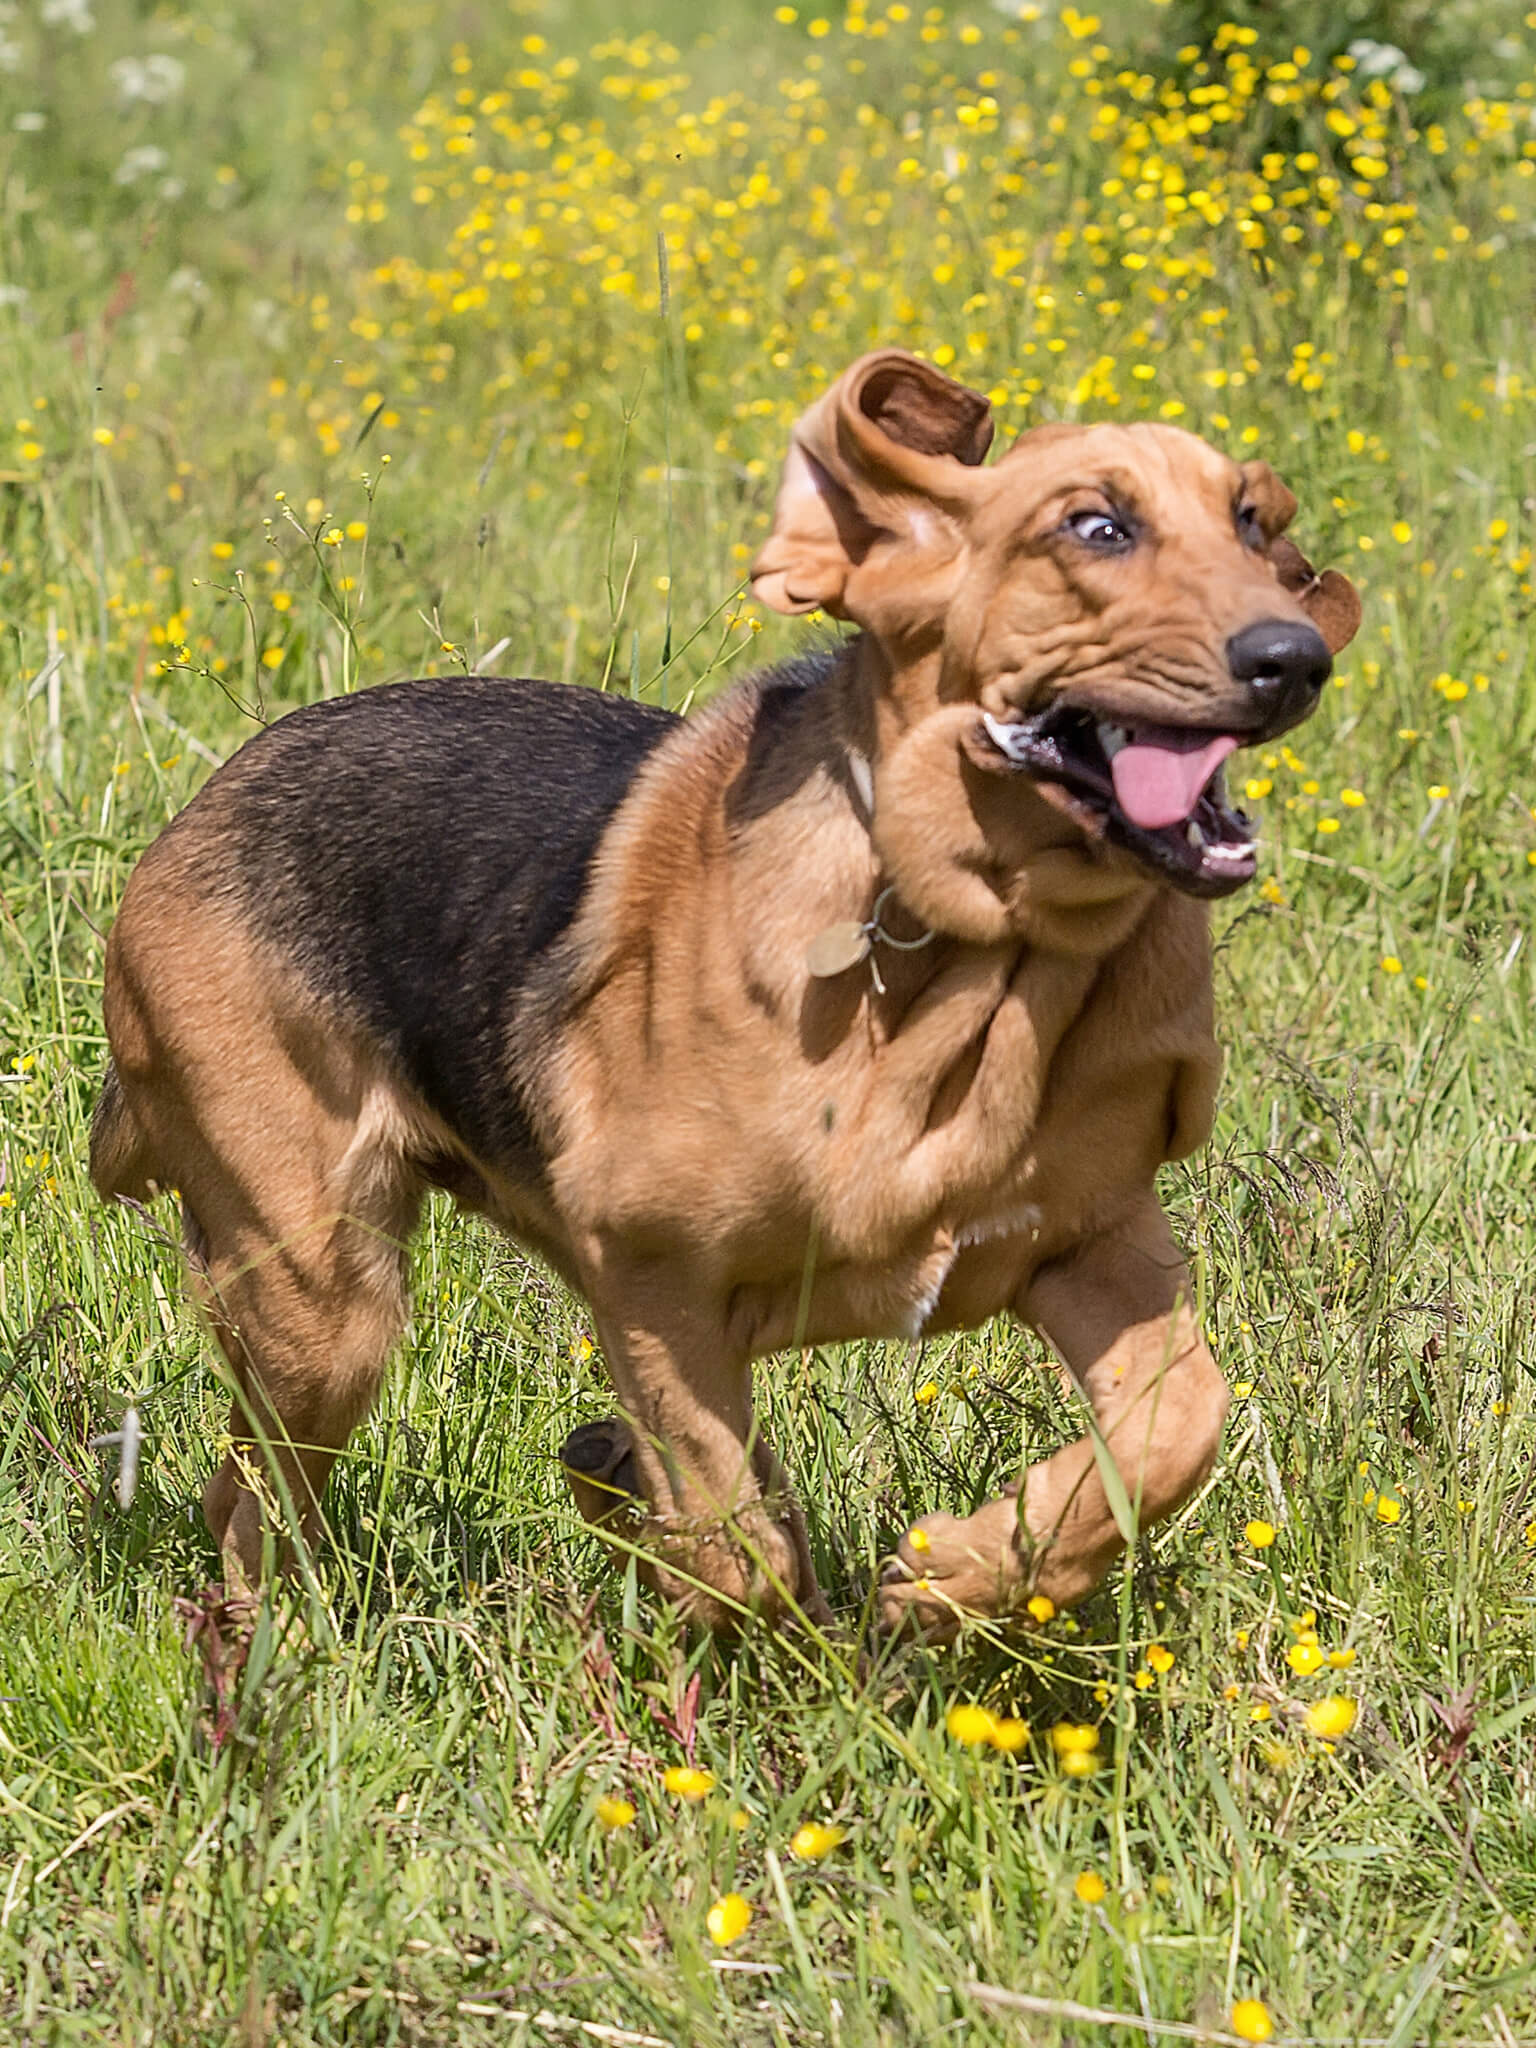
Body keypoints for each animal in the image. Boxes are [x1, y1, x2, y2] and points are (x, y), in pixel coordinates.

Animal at [93, 348, 1359, 1630]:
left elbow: (1173, 1427)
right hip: (322, 1299)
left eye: (1254, 520)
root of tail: (189, 821)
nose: (1296, 658)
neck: (977, 952)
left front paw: (963, 1571)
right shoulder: (656, 1291)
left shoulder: (1097, 1242)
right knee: (251, 1496)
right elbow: (739, 1545)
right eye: (1096, 526)